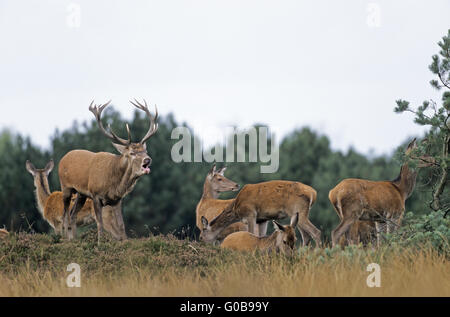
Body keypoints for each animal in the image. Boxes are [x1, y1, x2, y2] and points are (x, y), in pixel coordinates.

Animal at [59, 99, 158, 242]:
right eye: (132, 153)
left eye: (145, 150)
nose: (147, 159)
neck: (114, 183)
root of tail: (63, 158)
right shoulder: (95, 194)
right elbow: (100, 223)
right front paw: (100, 243)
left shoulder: (117, 200)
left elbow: (121, 225)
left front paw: (125, 242)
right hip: (65, 187)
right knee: (65, 214)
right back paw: (67, 240)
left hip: (81, 194)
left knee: (73, 214)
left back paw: (75, 240)